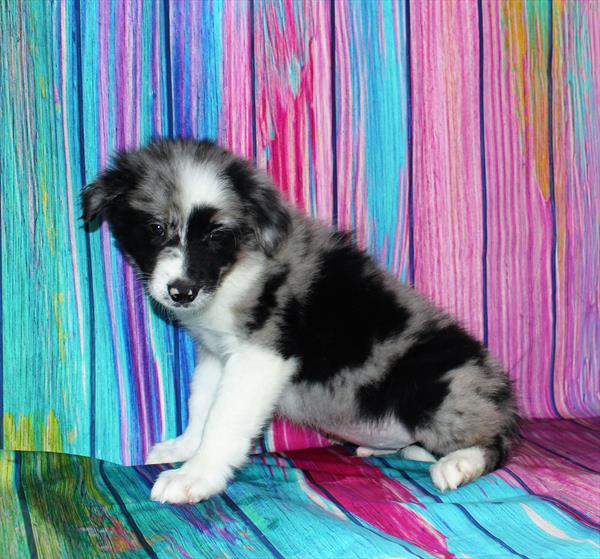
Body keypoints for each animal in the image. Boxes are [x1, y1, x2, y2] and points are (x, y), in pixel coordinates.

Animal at [82, 139, 516, 504]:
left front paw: (195, 476)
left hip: (431, 389)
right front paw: (183, 447)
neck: (234, 269)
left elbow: (223, 420)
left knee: (496, 445)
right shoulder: (216, 355)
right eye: (156, 228)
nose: (182, 291)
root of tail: (502, 393)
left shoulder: (260, 357)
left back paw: (457, 464)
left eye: (217, 235)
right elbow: (201, 404)